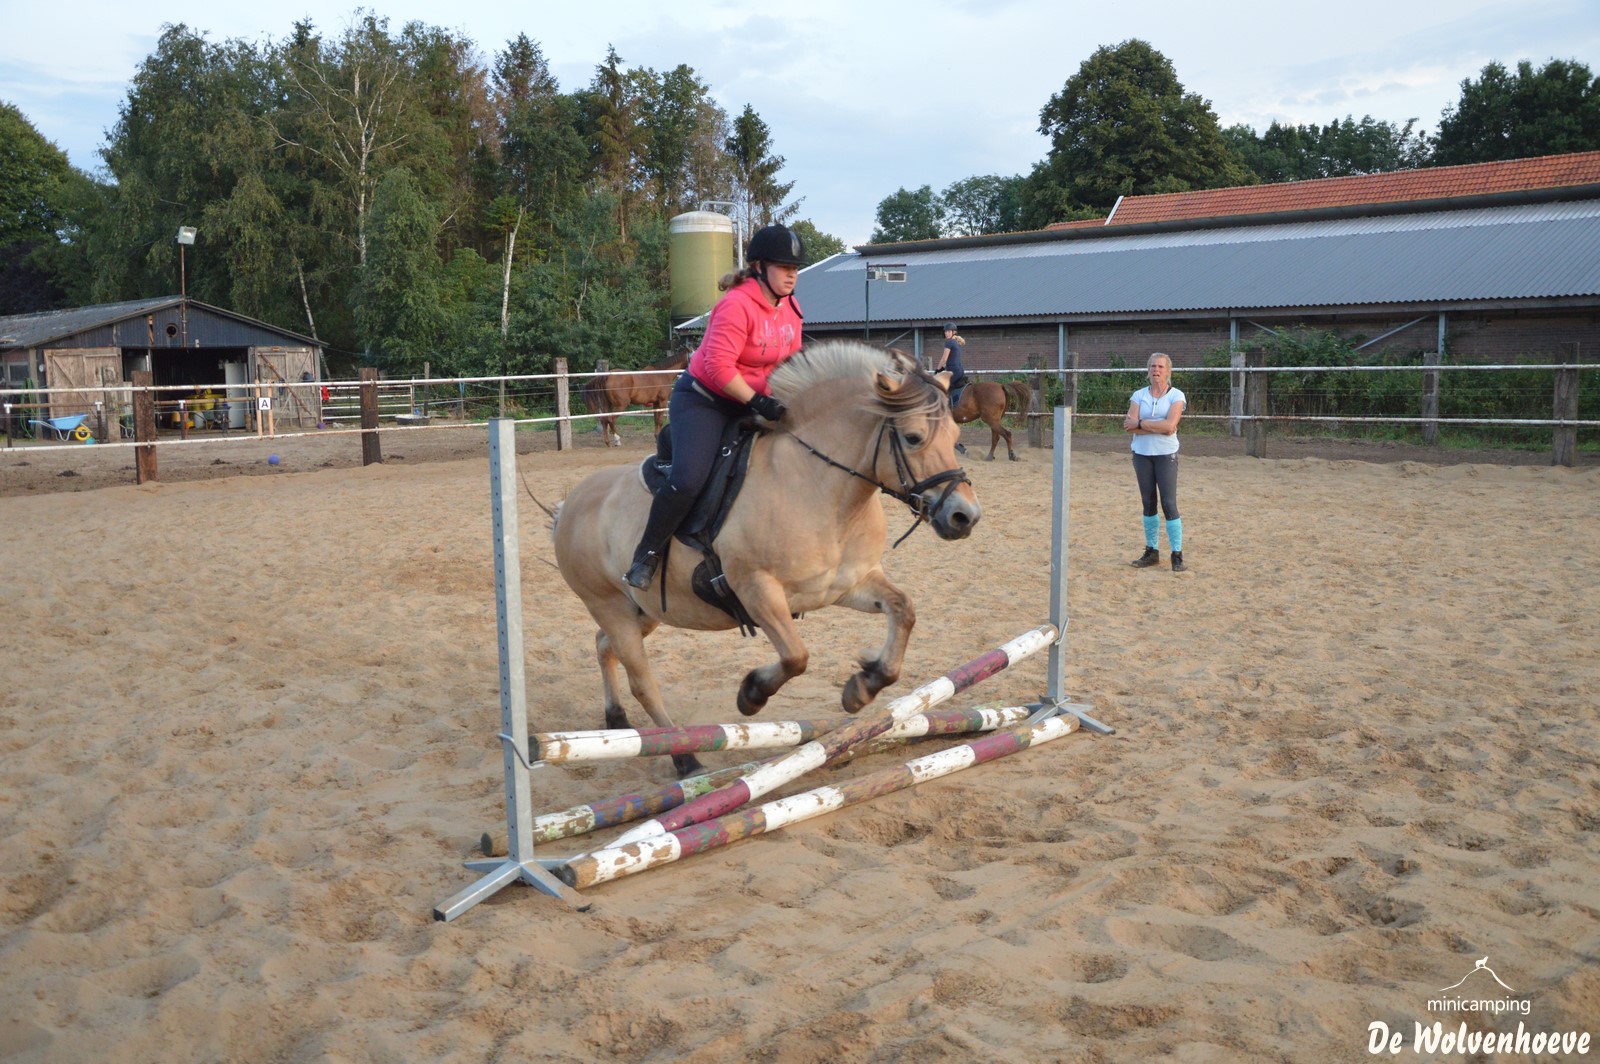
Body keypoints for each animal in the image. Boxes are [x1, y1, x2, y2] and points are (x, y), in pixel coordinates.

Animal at [548, 342, 980, 777]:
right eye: (913, 437)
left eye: (956, 436)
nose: (965, 517)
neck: (817, 484)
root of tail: (571, 504)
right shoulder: (758, 591)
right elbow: (795, 657)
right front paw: (751, 693)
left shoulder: (847, 585)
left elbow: (903, 611)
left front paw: (862, 687)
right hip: (611, 605)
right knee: (642, 681)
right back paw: (684, 757)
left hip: (646, 610)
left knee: (604, 645)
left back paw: (616, 718)